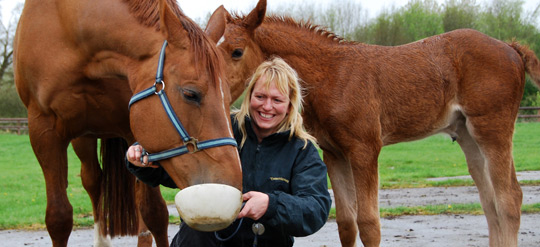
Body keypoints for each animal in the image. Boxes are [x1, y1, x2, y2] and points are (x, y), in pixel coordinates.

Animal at [13, 0, 242, 247]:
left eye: (229, 98)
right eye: (190, 94)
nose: (230, 187)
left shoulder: (132, 128)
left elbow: (154, 213)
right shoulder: (43, 131)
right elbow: (59, 218)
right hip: (82, 137)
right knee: (93, 181)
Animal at [206, 0, 540, 246]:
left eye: (236, 51)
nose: (215, 94)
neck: (333, 75)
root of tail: (511, 49)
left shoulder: (365, 150)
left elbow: (368, 223)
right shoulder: (335, 154)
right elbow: (346, 223)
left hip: (492, 129)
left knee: (509, 199)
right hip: (468, 137)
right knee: (490, 202)